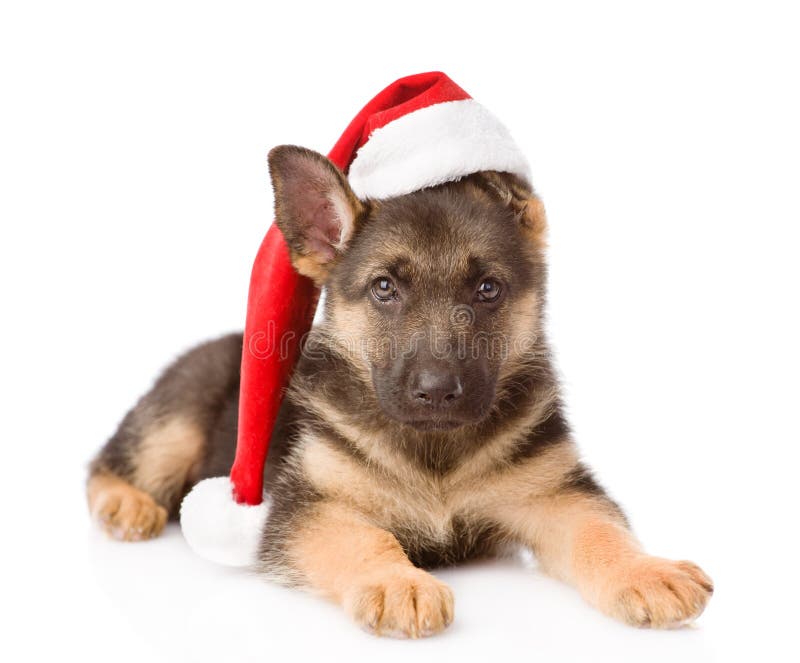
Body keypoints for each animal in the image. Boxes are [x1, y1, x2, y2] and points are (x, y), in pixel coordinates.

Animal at [87, 147, 712, 640]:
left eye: (488, 289)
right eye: (384, 288)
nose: (436, 391)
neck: (435, 454)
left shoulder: (554, 492)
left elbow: (600, 531)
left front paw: (645, 571)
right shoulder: (312, 507)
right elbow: (366, 540)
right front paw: (397, 583)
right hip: (178, 419)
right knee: (109, 461)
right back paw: (126, 504)